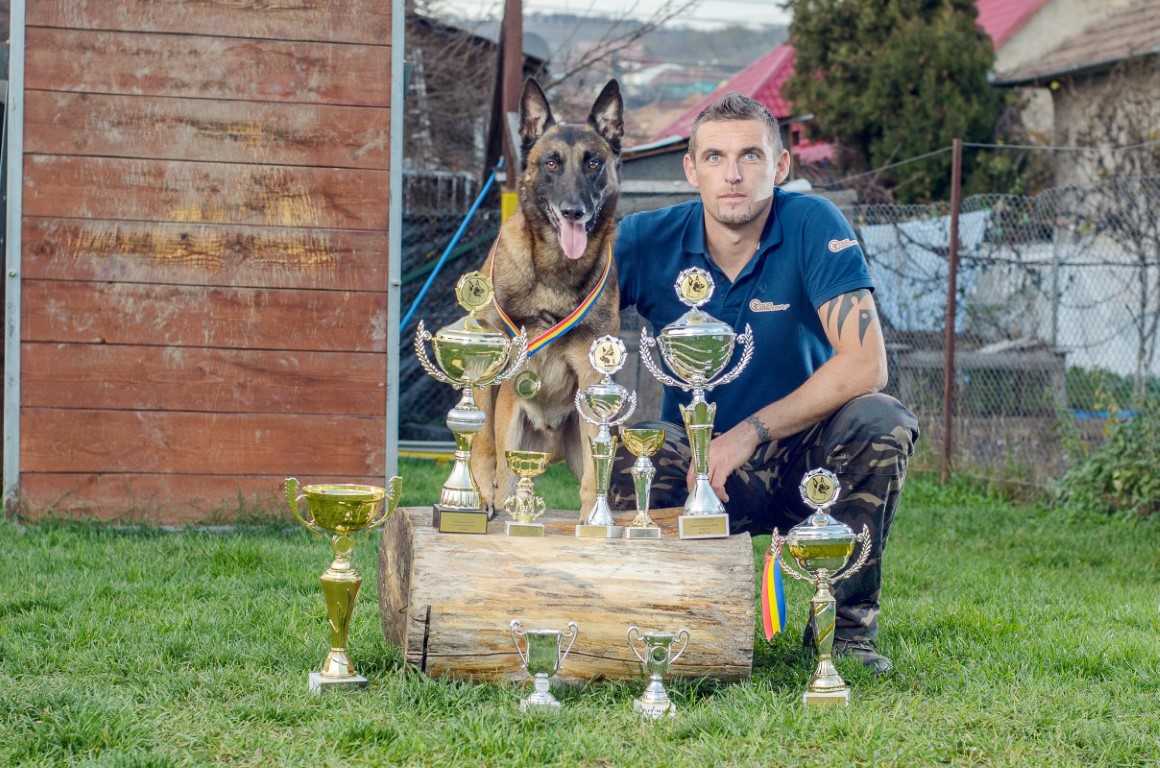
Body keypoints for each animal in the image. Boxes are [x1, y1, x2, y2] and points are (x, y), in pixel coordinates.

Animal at [470, 77, 624, 518]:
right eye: (551, 164)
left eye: (593, 163)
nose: (574, 211)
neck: (556, 271)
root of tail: (551, 447)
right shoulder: (492, 356)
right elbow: (484, 439)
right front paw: (483, 492)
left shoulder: (592, 373)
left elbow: (594, 465)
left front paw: (595, 518)